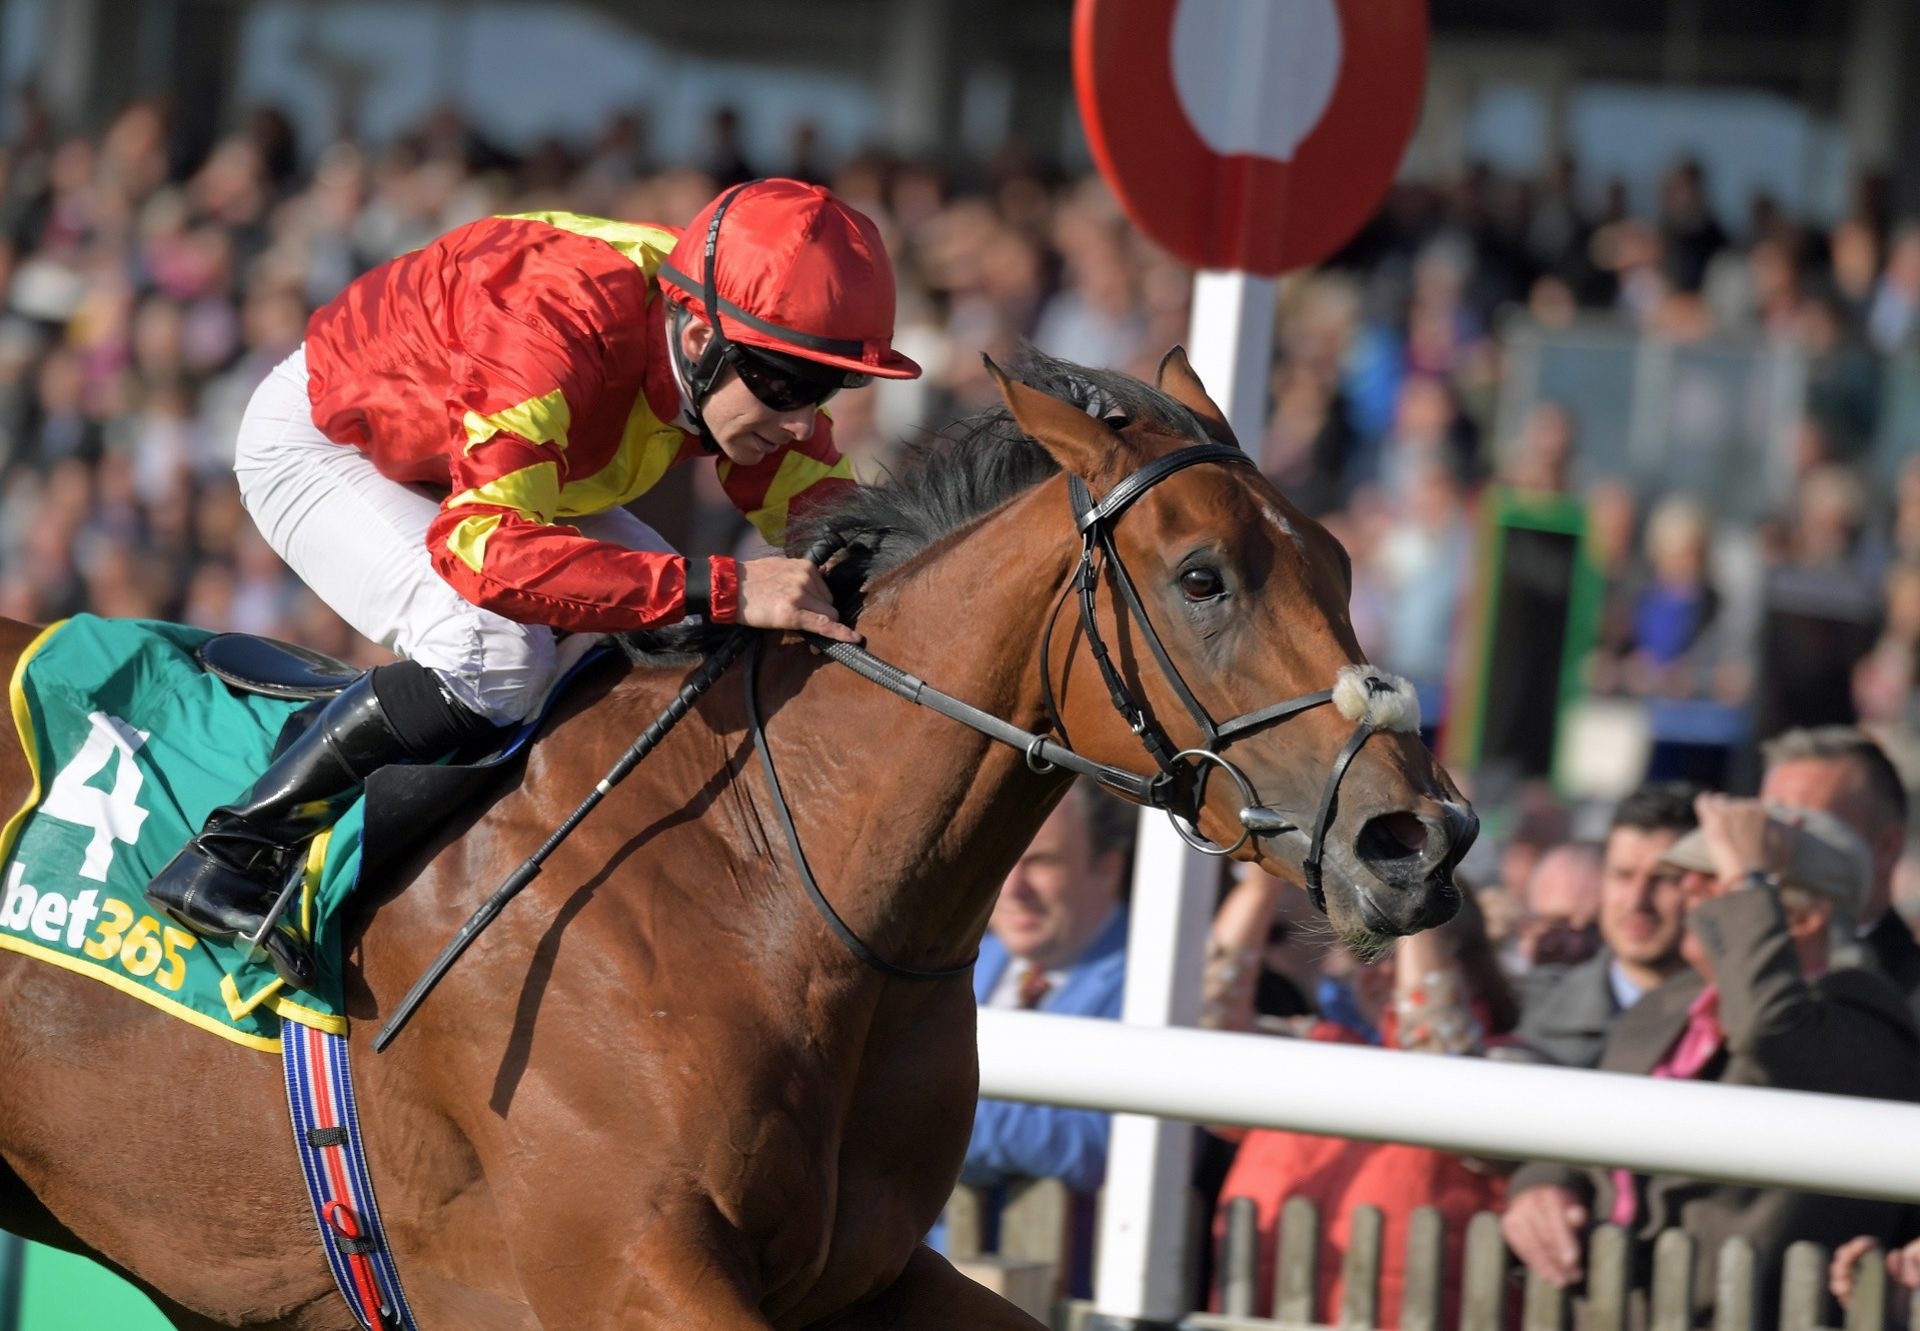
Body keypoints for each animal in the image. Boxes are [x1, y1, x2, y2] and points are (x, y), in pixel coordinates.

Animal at [0, 347, 1466, 1321]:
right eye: (1202, 576)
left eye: (1341, 561)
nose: (1419, 839)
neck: (777, 885)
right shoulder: (620, 1267)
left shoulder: (864, 1274)